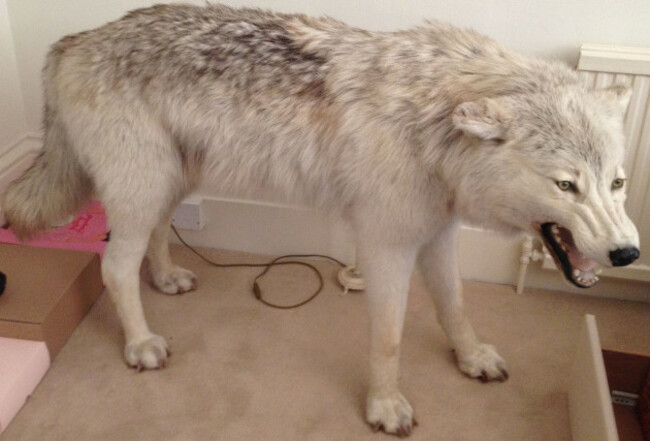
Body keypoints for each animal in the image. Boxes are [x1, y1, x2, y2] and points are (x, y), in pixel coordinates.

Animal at [2, 3, 640, 436]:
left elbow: (455, 307)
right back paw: (140, 345)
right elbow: (389, 339)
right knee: (113, 267)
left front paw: (472, 357)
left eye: (616, 183)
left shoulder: (438, 236)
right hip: (143, 188)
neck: (433, 128)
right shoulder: (387, 246)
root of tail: (72, 41)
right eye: (565, 185)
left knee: (156, 239)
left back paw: (166, 279)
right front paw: (385, 407)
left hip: (168, 182)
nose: (629, 254)